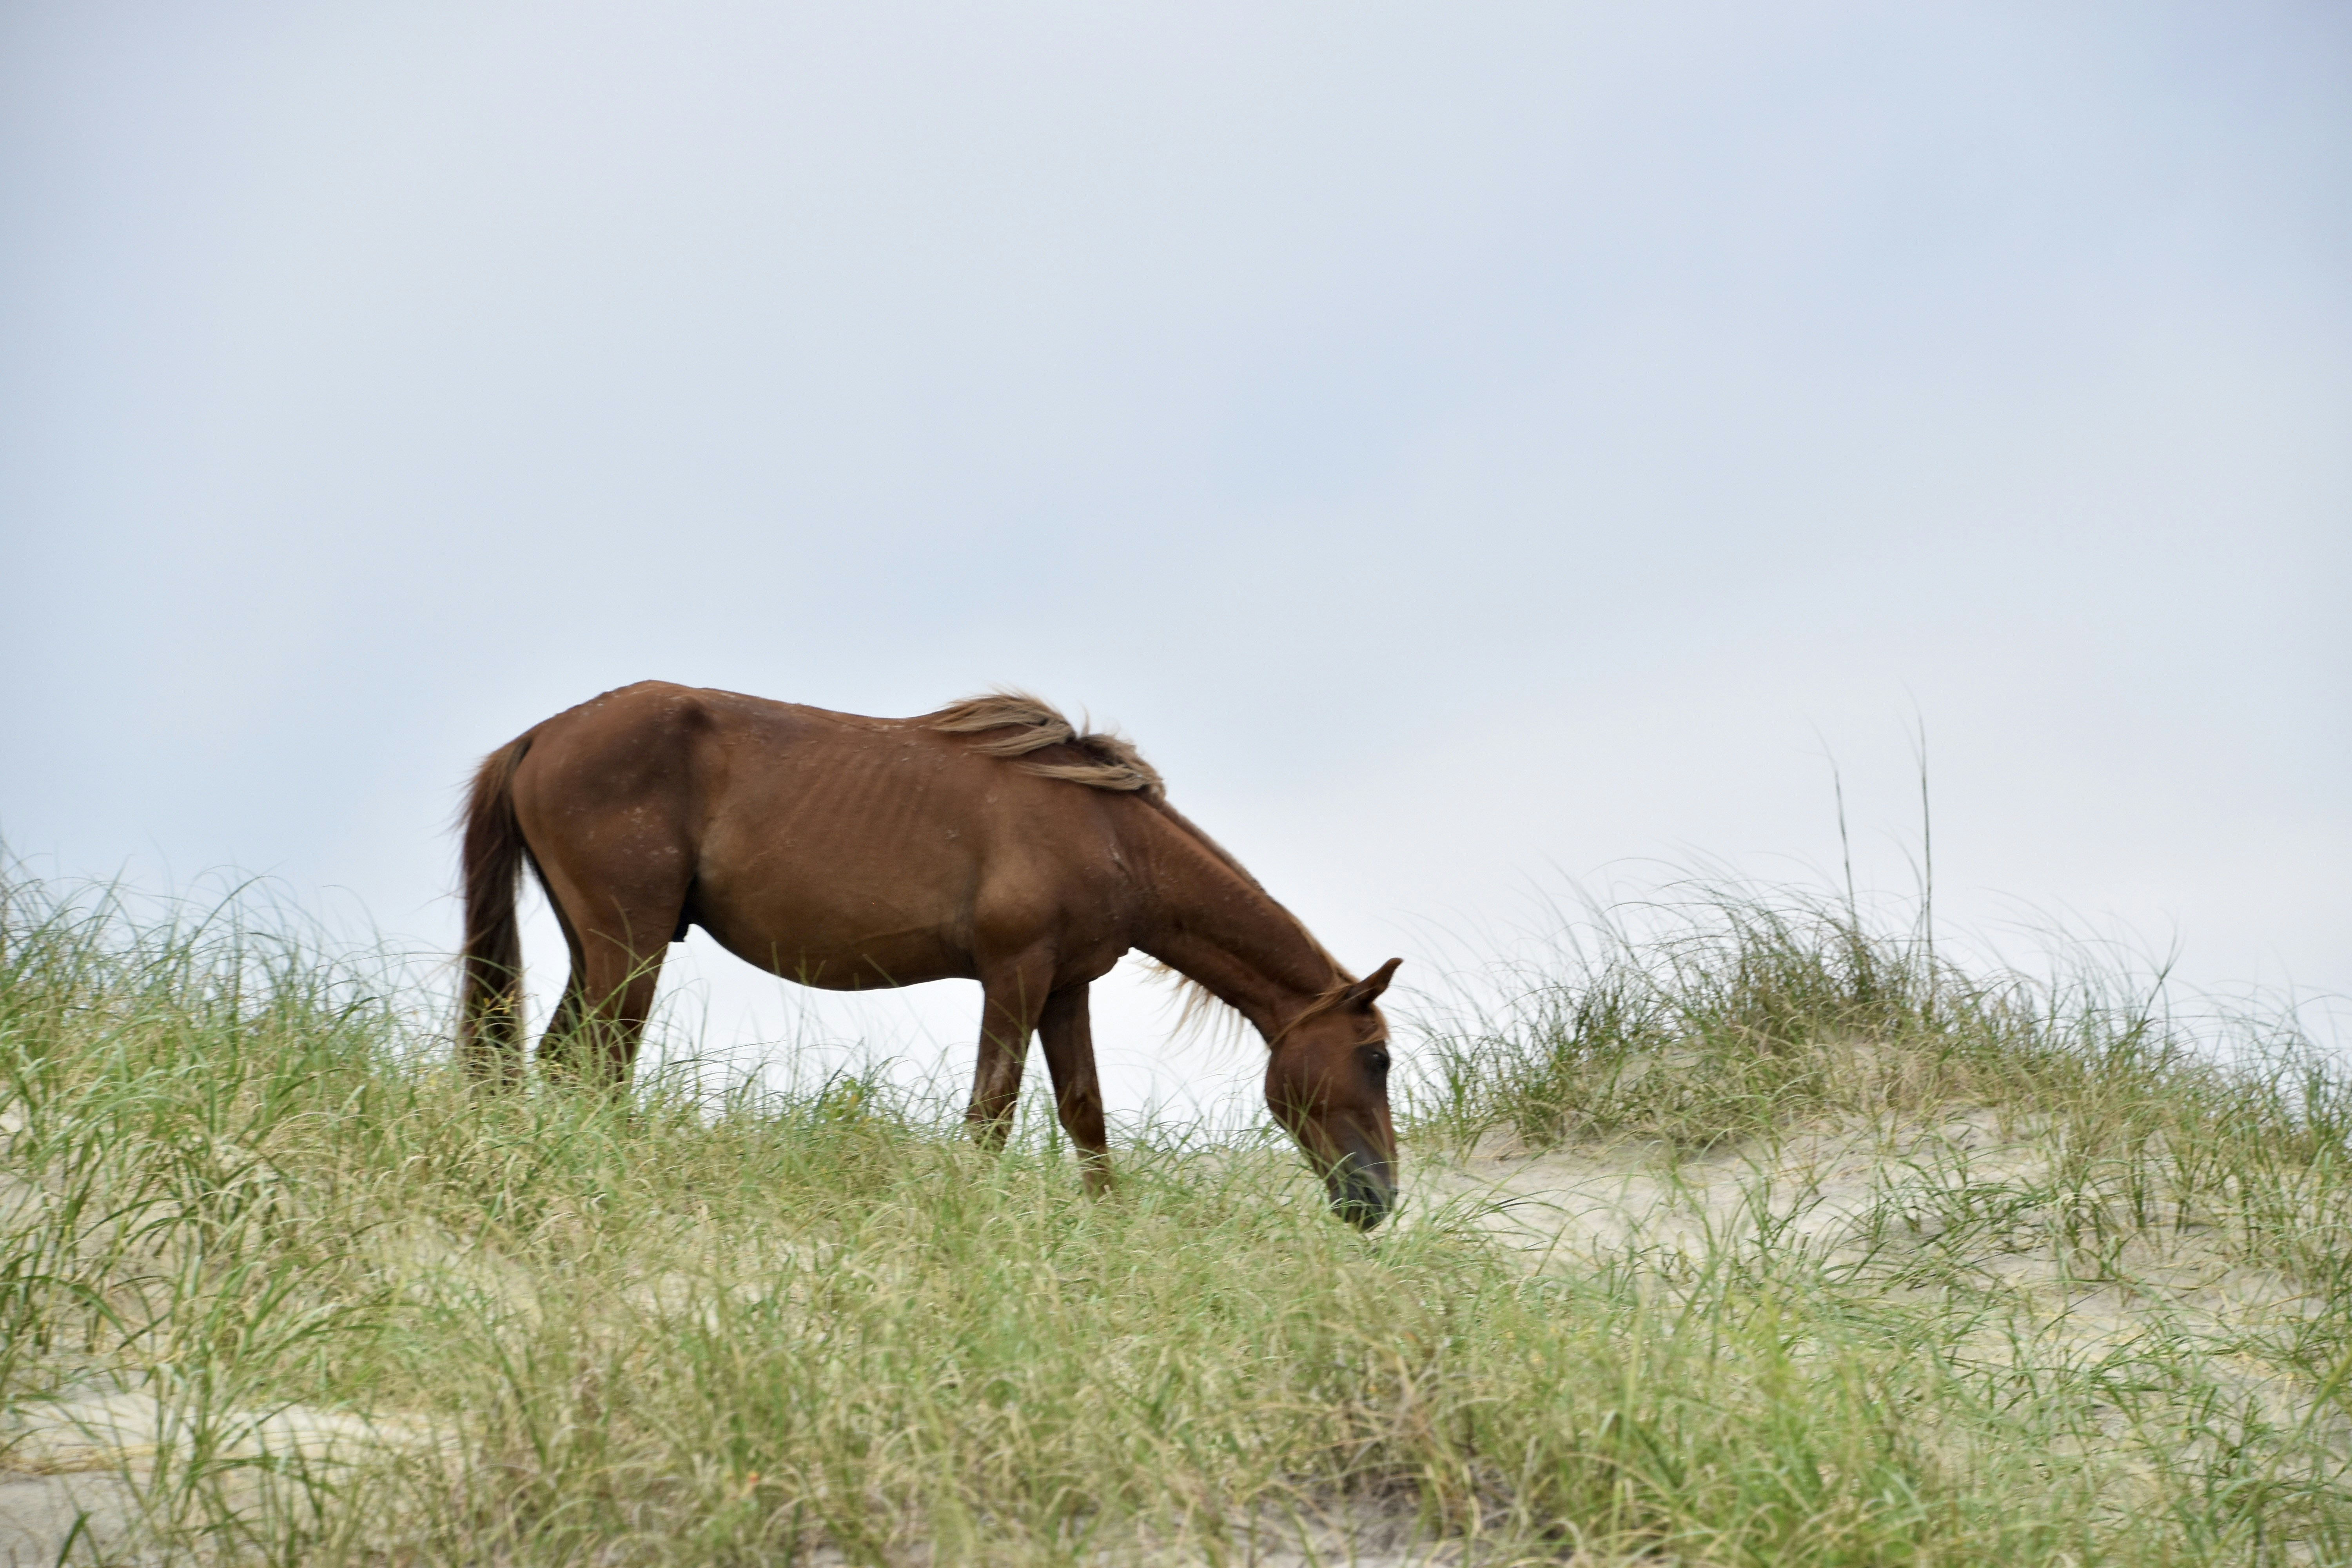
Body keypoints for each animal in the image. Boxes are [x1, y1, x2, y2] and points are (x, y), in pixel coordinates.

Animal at [457, 682, 1404, 1226]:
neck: (1107, 831)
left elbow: (1085, 1113)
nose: (1381, 1199)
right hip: (630, 946)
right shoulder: (1015, 974)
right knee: (600, 1067)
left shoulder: (1066, 987)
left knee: (565, 1062)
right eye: (1378, 1058)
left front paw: (1111, 1231)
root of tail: (540, 736)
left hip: (599, 947)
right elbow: (993, 1113)